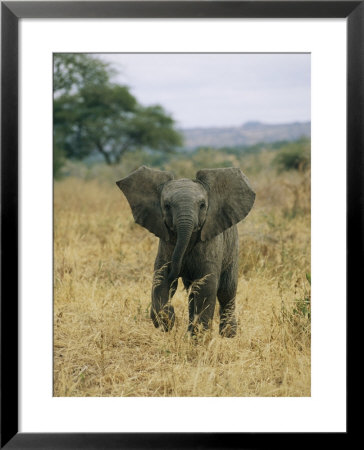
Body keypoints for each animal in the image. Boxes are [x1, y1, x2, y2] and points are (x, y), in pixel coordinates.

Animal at [117, 167, 256, 336]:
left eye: (202, 205)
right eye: (167, 205)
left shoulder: (211, 243)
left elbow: (206, 284)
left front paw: (199, 338)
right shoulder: (166, 243)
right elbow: (161, 278)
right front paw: (167, 321)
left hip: (233, 248)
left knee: (226, 291)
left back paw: (228, 335)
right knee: (192, 294)